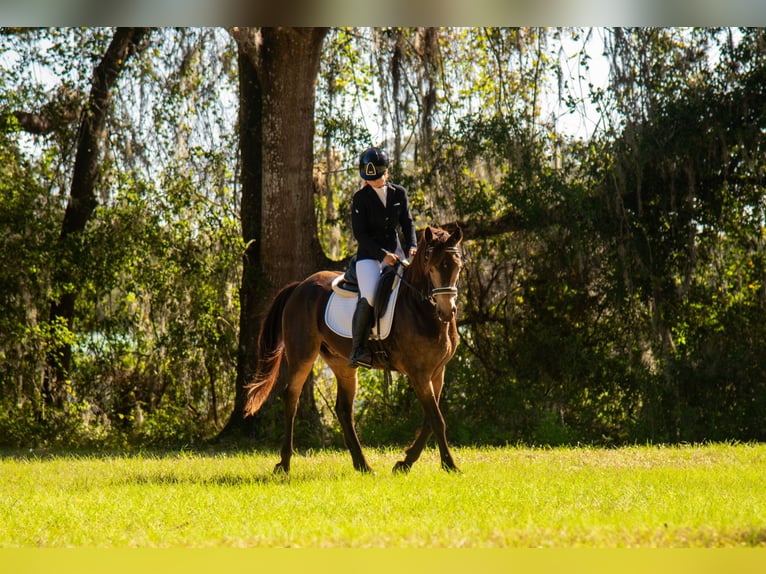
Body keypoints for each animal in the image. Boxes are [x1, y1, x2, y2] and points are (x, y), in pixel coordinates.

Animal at [244, 225, 464, 474]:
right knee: (292, 397)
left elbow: (430, 419)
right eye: (432, 267)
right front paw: (449, 465)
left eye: (457, 267)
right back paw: (284, 462)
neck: (421, 309)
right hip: (303, 356)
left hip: (342, 363)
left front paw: (405, 462)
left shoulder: (437, 373)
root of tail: (299, 286)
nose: (447, 312)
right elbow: (436, 419)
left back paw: (362, 464)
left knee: (343, 409)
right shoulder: (419, 374)